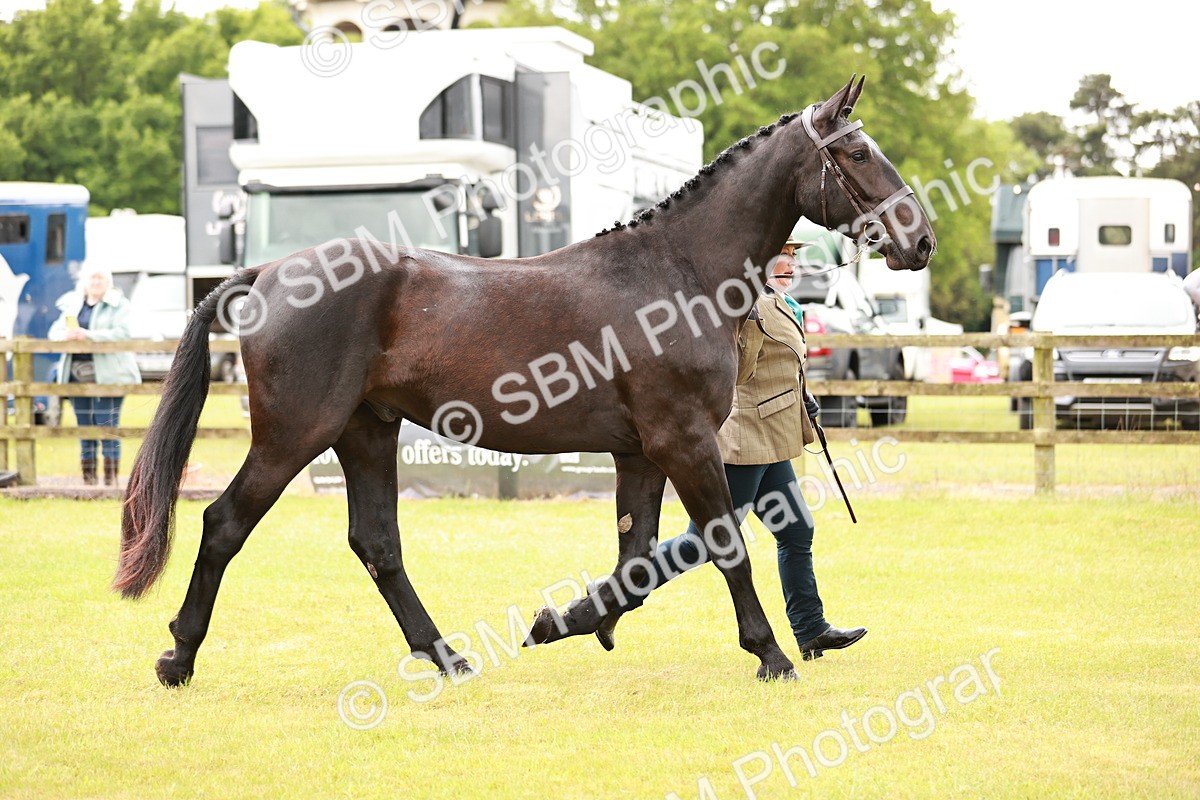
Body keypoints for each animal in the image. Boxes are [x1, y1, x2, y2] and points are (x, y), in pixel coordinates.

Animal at [116, 76, 935, 687]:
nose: (921, 238)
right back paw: (178, 656)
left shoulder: (640, 452)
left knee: (377, 543)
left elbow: (639, 560)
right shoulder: (685, 442)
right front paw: (770, 655)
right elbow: (723, 542)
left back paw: (447, 658)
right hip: (294, 434)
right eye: (857, 152)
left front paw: (567, 621)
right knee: (224, 524)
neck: (674, 273)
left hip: (366, 431)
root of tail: (270, 273)